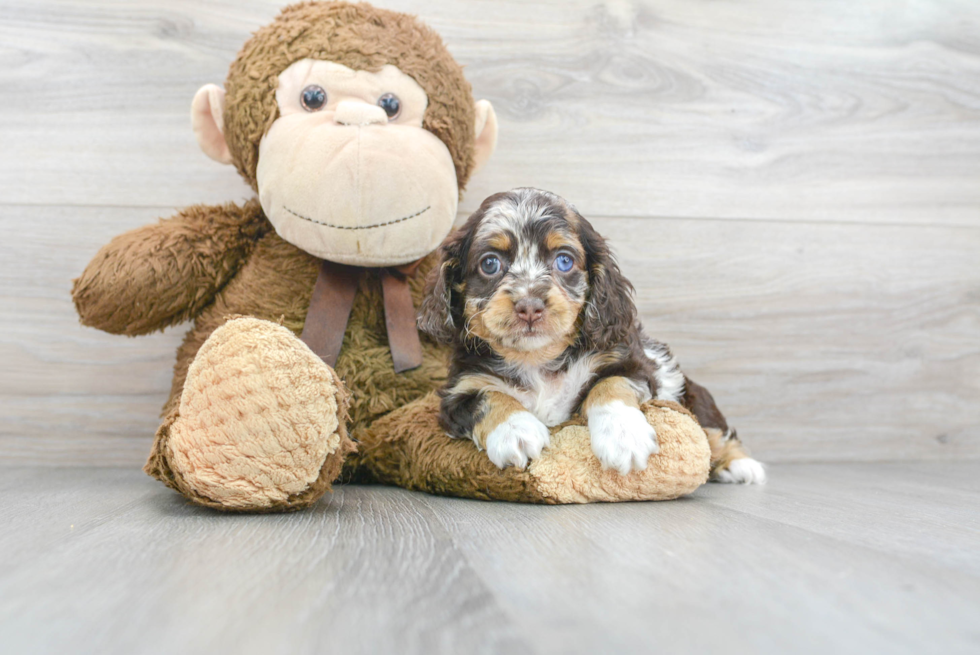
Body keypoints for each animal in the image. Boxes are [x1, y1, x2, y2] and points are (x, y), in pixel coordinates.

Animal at [418, 190, 760, 482]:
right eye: (490, 263)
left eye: (564, 260)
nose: (530, 306)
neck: (537, 359)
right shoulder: (460, 389)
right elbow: (488, 396)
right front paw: (516, 430)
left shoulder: (628, 364)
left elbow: (608, 385)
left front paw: (623, 436)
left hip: (691, 394)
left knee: (713, 430)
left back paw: (740, 465)